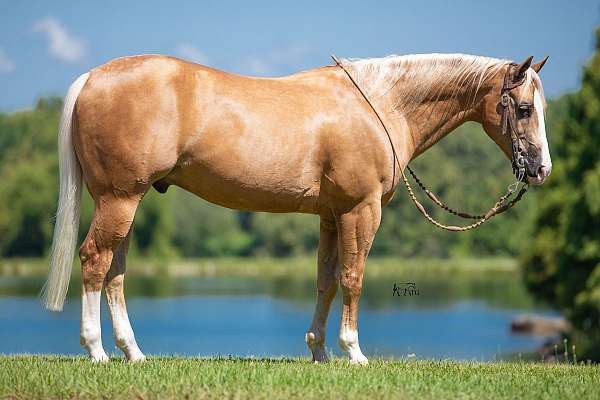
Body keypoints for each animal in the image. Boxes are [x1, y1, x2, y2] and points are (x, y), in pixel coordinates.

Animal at [42, 52, 552, 362]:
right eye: (524, 108)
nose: (541, 169)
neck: (380, 105)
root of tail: (93, 78)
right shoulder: (360, 211)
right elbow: (353, 278)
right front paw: (354, 352)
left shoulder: (331, 215)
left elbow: (326, 281)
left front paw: (319, 351)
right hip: (119, 198)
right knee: (94, 260)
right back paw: (96, 350)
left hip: (126, 201)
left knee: (115, 271)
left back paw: (133, 352)